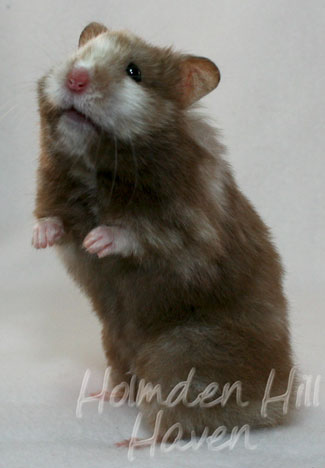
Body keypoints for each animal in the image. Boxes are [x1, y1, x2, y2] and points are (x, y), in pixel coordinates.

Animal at [33, 22, 296, 442]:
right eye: (80, 53)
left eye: (134, 72)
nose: (76, 78)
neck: (97, 164)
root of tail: (278, 402)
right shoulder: (57, 190)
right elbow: (52, 218)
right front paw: (41, 237)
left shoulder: (191, 230)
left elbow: (145, 234)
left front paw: (98, 239)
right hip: (114, 341)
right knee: (129, 384)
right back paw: (103, 395)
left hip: (182, 361)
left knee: (175, 420)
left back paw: (133, 441)